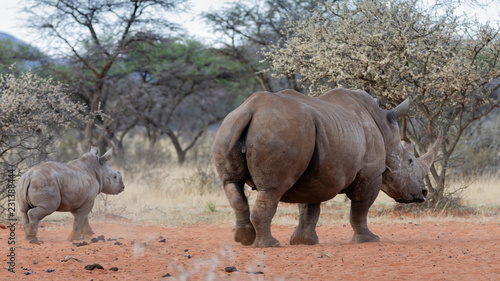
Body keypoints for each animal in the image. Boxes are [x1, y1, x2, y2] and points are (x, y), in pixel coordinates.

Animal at [212, 88, 442, 247]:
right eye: (410, 161)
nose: (423, 193)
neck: (385, 132)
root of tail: (250, 110)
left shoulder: (315, 175)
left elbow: (309, 208)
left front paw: (304, 242)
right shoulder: (370, 173)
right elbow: (360, 208)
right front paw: (370, 239)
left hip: (230, 127)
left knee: (231, 184)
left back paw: (244, 239)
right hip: (280, 131)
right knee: (271, 190)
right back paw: (269, 245)